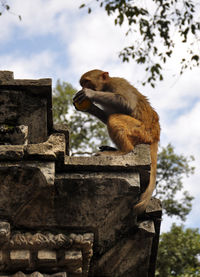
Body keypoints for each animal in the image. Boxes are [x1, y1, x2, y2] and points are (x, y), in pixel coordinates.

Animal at [72, 69, 160, 213]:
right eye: (82, 83)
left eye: (86, 82)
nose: (83, 87)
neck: (106, 87)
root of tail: (155, 137)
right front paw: (90, 107)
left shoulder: (119, 83)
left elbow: (127, 103)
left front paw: (90, 94)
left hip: (141, 132)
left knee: (114, 118)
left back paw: (123, 151)